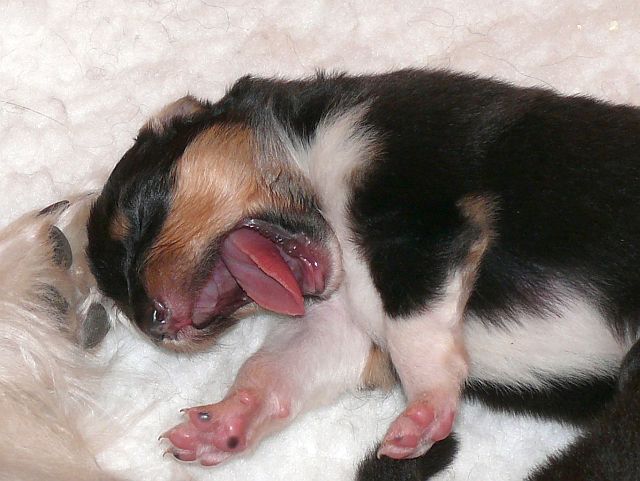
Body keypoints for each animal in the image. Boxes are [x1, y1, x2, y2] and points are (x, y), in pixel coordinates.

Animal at [87, 69, 640, 478]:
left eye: (138, 218)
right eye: (124, 306)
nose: (152, 321)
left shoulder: (422, 224)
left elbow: (410, 326)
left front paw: (424, 412)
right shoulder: (340, 326)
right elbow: (272, 370)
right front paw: (220, 422)